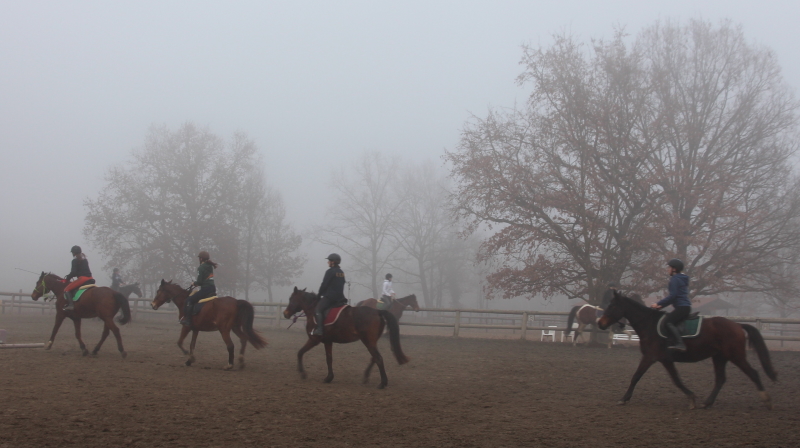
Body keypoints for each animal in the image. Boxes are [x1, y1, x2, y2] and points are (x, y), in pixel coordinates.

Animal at [282, 288, 410, 388]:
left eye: (291, 299)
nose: (285, 314)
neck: (313, 310)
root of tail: (378, 311)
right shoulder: (328, 341)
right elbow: (329, 359)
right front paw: (329, 378)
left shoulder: (314, 340)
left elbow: (300, 352)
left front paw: (303, 373)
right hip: (371, 341)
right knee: (374, 358)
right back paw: (366, 377)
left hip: (368, 341)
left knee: (378, 358)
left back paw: (382, 383)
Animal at [600, 290, 776, 410]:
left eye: (612, 305)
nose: (600, 323)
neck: (648, 324)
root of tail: (737, 325)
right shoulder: (665, 359)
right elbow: (676, 380)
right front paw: (691, 397)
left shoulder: (650, 357)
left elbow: (636, 377)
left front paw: (624, 398)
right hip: (719, 357)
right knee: (720, 379)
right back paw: (707, 402)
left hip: (736, 356)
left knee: (753, 373)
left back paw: (766, 399)